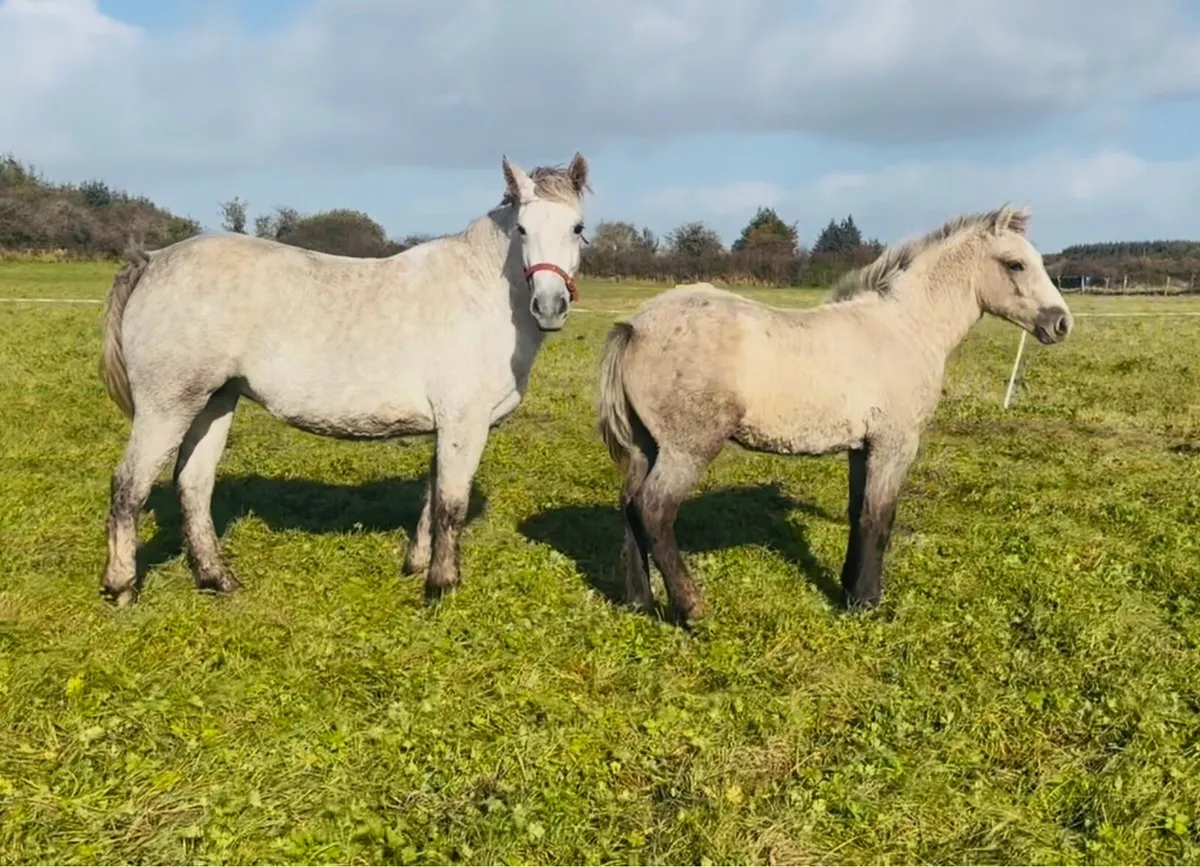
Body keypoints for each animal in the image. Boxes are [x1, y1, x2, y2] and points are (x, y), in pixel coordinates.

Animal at [98, 152, 591, 606]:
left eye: (578, 227)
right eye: (522, 229)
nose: (550, 306)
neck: (481, 295)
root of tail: (153, 260)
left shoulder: (446, 426)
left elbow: (432, 498)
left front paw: (416, 566)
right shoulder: (463, 424)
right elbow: (451, 504)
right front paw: (441, 587)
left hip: (214, 401)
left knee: (194, 485)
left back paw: (216, 579)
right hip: (168, 406)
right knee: (129, 487)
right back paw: (121, 587)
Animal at [596, 204, 1073, 624]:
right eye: (1015, 264)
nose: (1062, 323)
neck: (905, 328)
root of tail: (635, 325)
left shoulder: (862, 447)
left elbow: (858, 512)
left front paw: (848, 589)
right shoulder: (895, 444)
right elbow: (881, 517)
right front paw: (867, 602)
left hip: (646, 445)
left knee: (630, 505)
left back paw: (639, 601)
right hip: (688, 447)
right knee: (655, 509)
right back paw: (691, 608)